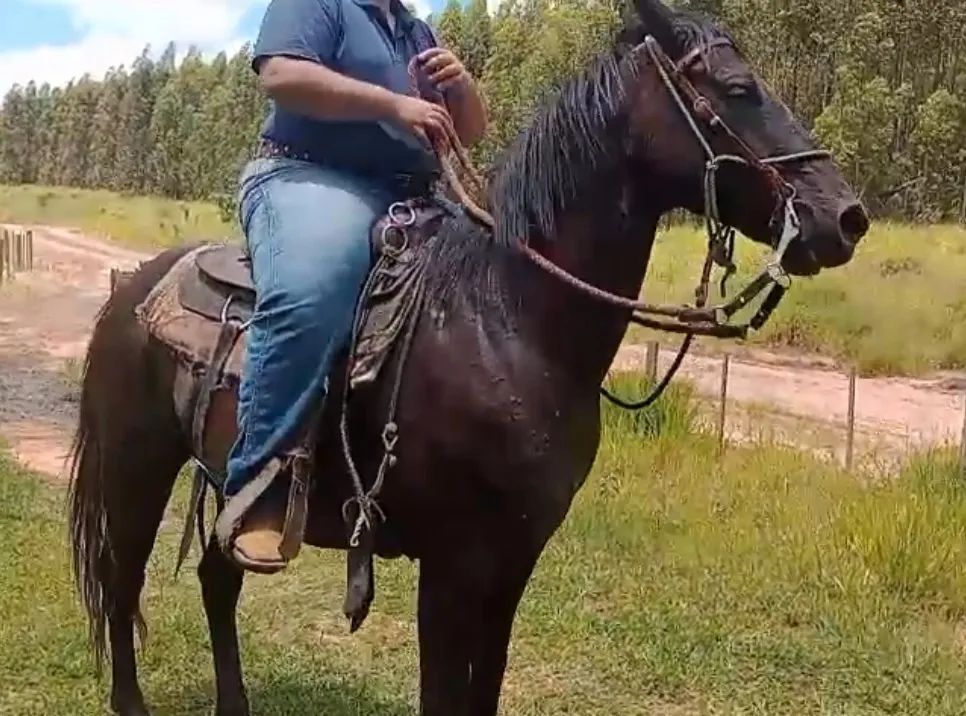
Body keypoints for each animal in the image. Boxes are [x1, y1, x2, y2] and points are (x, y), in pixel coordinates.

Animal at [66, 2, 869, 714]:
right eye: (737, 89)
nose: (846, 217)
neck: (507, 323)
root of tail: (132, 285)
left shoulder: (515, 557)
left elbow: (485, 688)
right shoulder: (453, 563)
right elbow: (445, 694)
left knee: (216, 577)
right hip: (137, 467)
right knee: (121, 577)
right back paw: (129, 702)